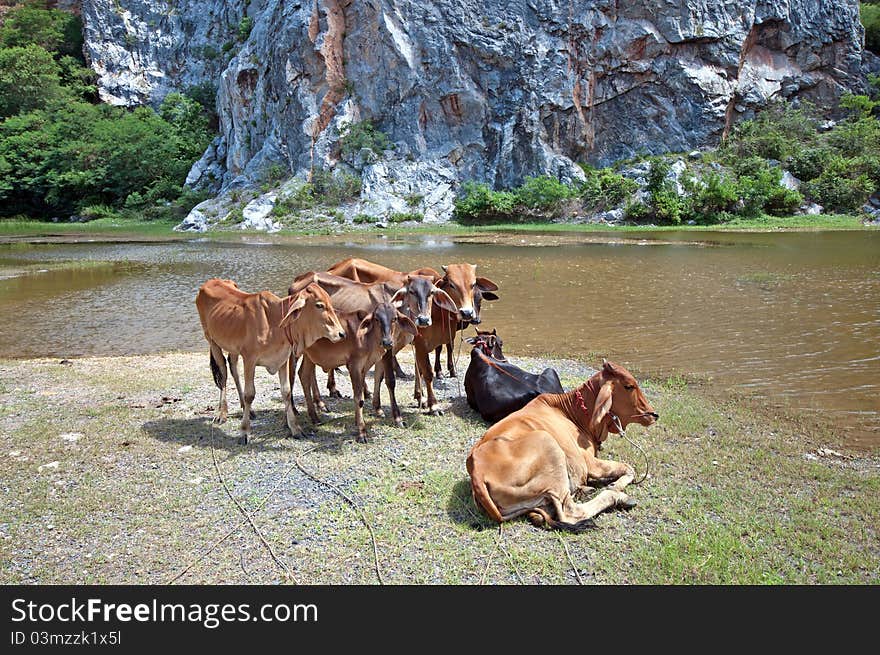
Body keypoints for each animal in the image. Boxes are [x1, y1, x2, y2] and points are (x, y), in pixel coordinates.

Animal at [197, 276, 348, 446]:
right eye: (319, 305)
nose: (341, 333)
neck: (274, 321)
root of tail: (211, 281)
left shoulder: (282, 359)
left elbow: (286, 392)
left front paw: (295, 429)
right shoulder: (249, 359)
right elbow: (250, 394)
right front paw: (244, 432)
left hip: (233, 347)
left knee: (233, 367)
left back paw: (246, 409)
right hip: (212, 340)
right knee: (223, 373)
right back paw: (222, 413)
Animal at [468, 362, 660, 532]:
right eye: (629, 386)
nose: (654, 414)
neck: (575, 414)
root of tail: (477, 472)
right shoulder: (590, 463)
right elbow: (629, 468)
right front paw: (615, 485)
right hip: (548, 445)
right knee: (570, 512)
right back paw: (618, 497)